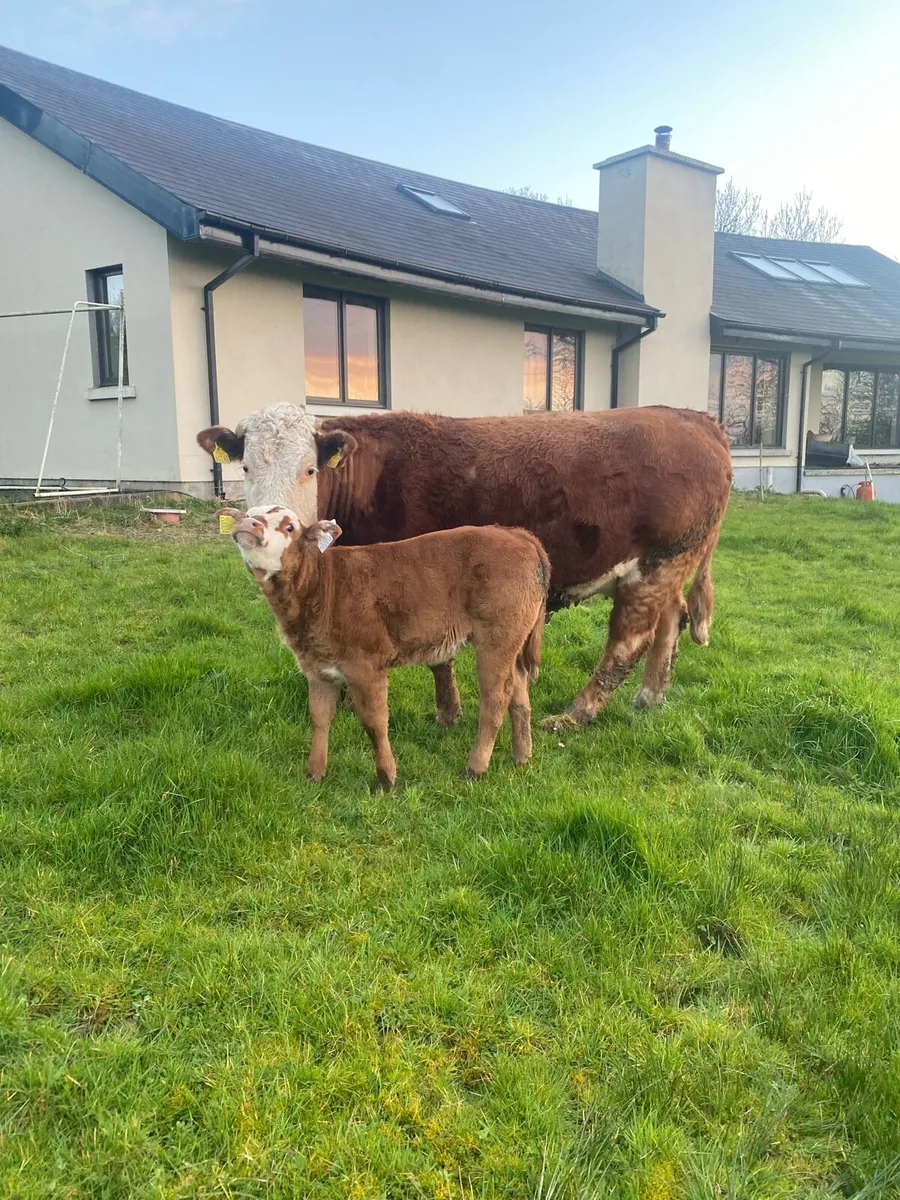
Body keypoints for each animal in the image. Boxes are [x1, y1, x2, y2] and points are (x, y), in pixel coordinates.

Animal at [198, 404, 732, 731]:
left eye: (309, 469)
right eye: (246, 467)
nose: (266, 525)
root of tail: (693, 417)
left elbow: (435, 654)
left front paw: (440, 712)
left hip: (657, 564)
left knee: (627, 643)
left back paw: (575, 714)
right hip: (668, 567)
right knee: (672, 619)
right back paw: (650, 698)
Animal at [222, 505, 549, 789]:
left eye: (289, 527)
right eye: (249, 512)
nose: (249, 524)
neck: (320, 586)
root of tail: (516, 534)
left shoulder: (366, 666)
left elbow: (375, 722)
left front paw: (386, 778)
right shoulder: (318, 667)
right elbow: (319, 719)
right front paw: (314, 773)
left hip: (496, 638)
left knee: (495, 698)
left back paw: (476, 767)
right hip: (513, 641)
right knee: (518, 690)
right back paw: (522, 756)